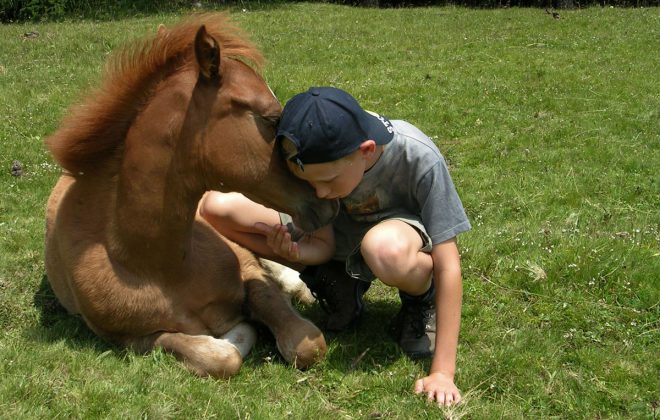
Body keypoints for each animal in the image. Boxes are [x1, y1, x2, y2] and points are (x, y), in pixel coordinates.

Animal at [43, 14, 338, 378]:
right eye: (271, 119)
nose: (328, 201)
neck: (160, 266)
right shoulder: (126, 338)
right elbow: (218, 356)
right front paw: (231, 333)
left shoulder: (250, 272)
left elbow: (306, 343)